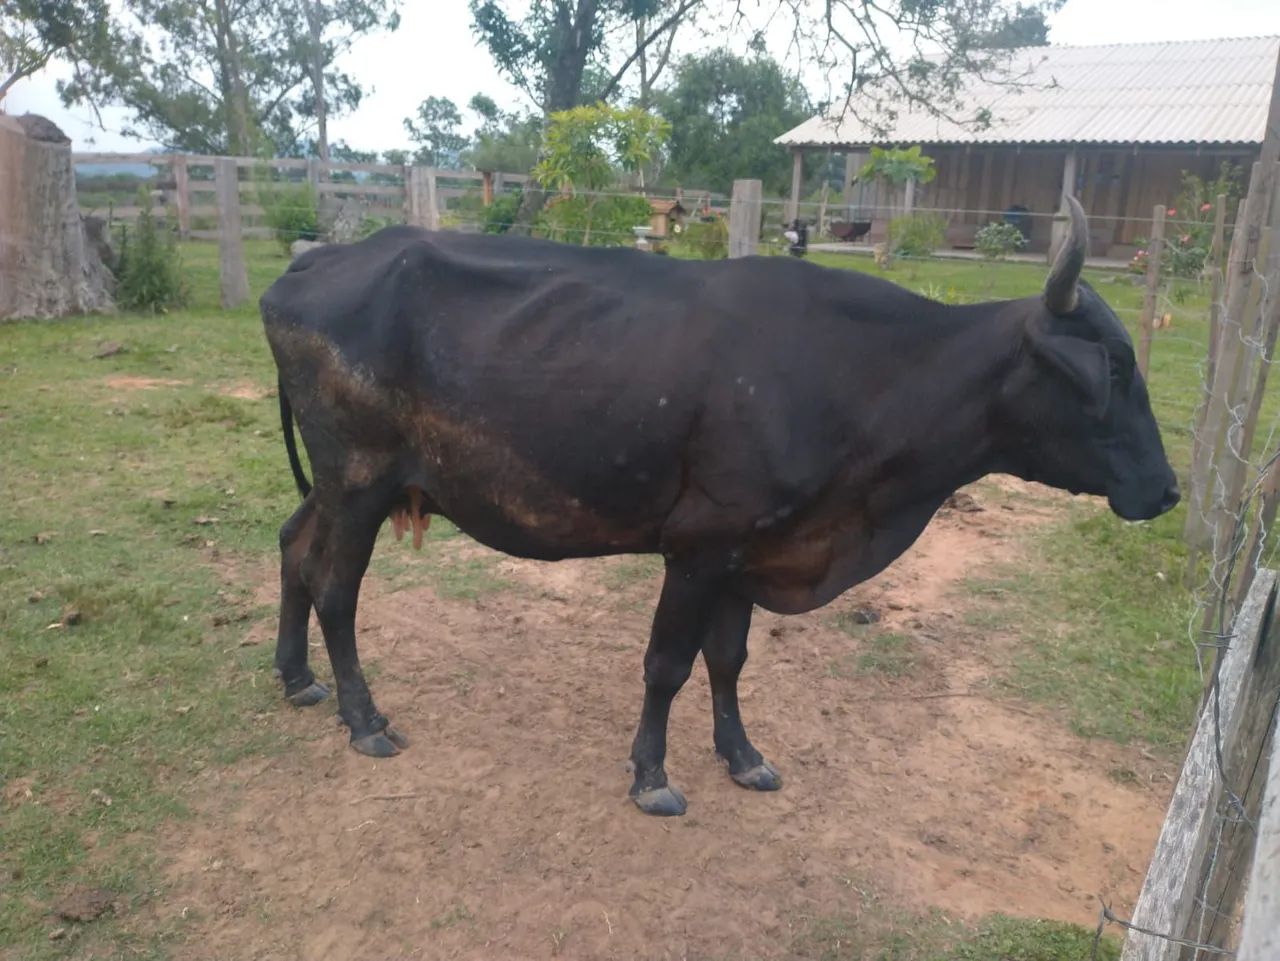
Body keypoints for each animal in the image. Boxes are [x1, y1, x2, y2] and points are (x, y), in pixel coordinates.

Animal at [259, 196, 1179, 817]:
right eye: (1114, 368)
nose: (1168, 489)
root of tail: (314, 264)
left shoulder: (751, 547)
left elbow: (729, 659)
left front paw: (742, 755)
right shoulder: (699, 545)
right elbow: (667, 662)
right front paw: (652, 775)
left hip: (335, 489)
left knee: (293, 547)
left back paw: (297, 678)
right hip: (359, 480)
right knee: (336, 587)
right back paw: (364, 718)